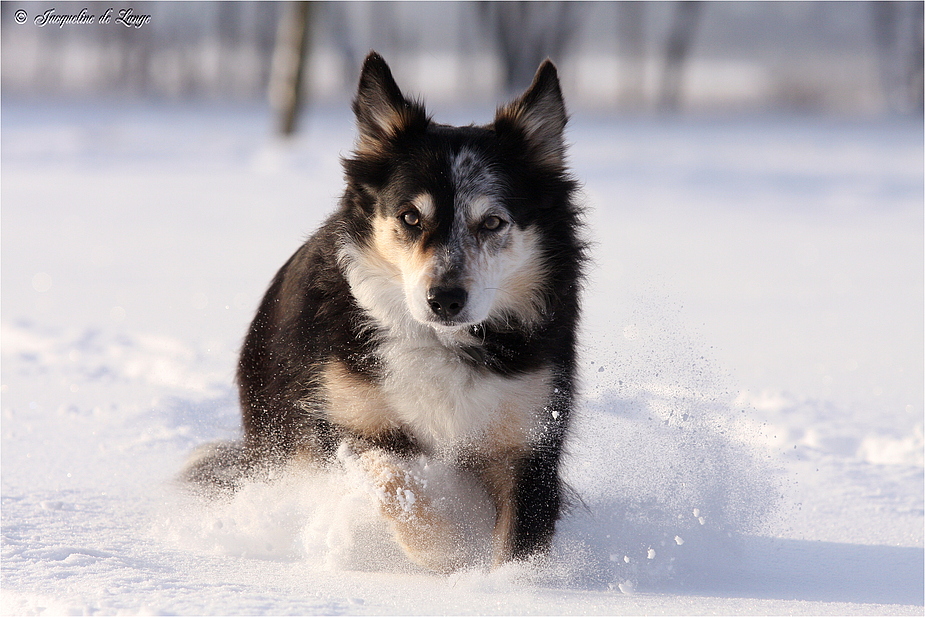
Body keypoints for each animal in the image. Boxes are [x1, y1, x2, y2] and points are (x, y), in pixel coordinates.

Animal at [182, 53, 584, 572]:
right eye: (411, 217)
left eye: (493, 222)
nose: (445, 299)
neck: (440, 341)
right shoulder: (348, 421)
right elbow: (394, 479)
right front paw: (451, 556)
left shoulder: (529, 442)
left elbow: (517, 544)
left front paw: (505, 585)